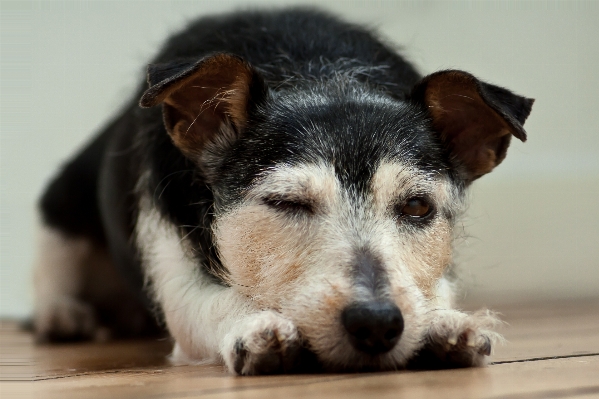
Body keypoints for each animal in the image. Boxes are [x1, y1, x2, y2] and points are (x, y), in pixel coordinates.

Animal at [34, 8, 536, 376]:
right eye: (286, 203)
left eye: (417, 206)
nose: (376, 324)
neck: (318, 72)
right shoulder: (170, 261)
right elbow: (206, 300)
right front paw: (256, 328)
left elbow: (434, 288)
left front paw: (445, 323)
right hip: (61, 204)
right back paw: (63, 316)